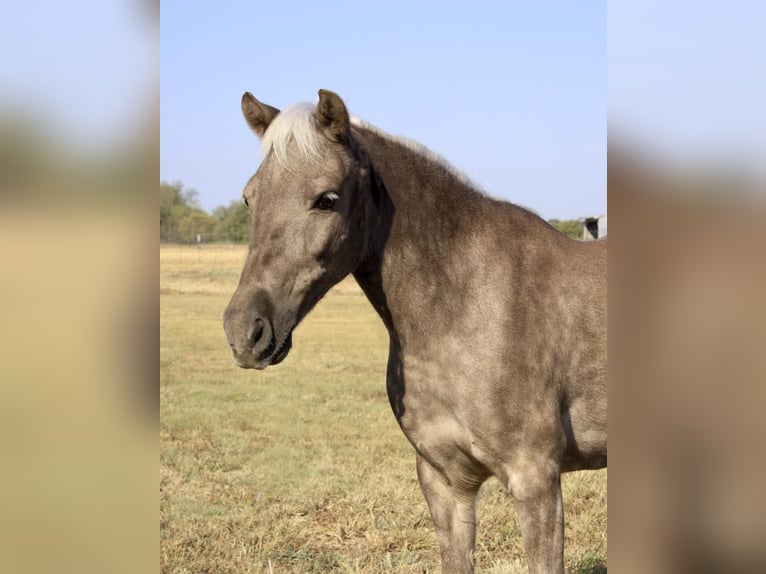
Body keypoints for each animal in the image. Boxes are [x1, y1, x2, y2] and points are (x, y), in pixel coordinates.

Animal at [225, 90, 608, 574]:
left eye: (326, 199)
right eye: (249, 199)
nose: (245, 332)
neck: (467, 305)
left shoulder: (536, 478)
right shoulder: (444, 481)